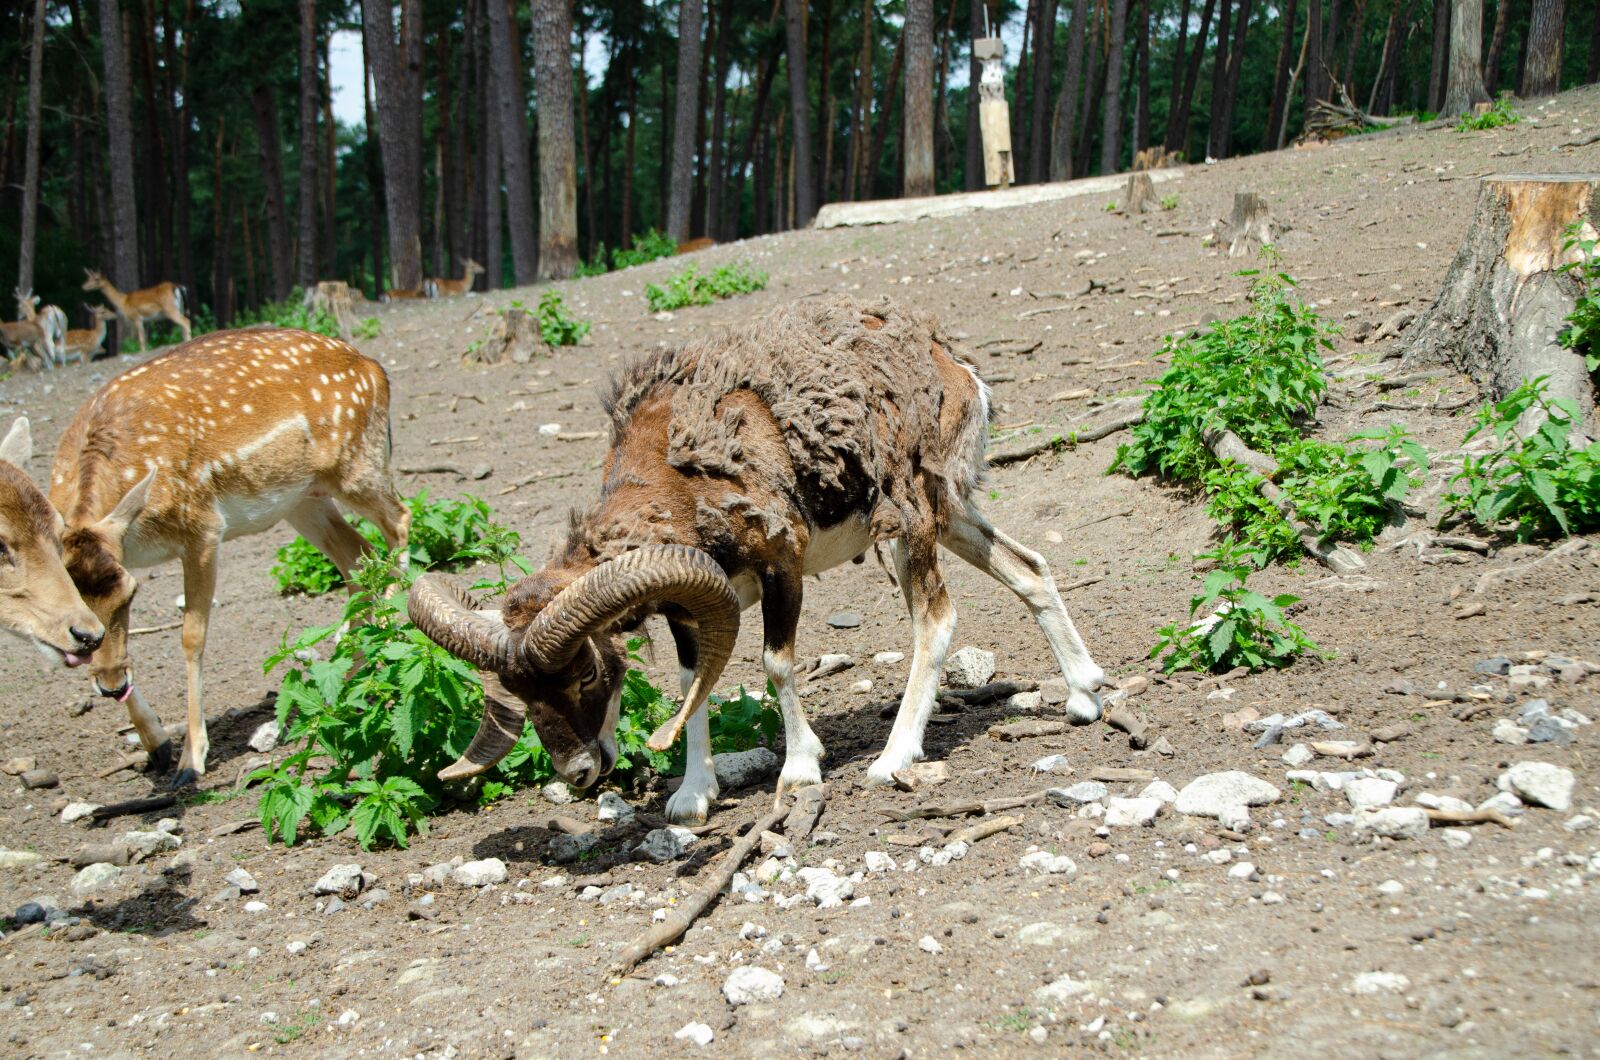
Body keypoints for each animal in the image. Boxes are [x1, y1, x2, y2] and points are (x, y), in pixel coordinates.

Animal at [48, 328, 410, 785]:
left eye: (131, 595)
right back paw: (350, 675)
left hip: (358, 465)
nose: (110, 686)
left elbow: (192, 637)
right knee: (358, 556)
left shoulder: (202, 526)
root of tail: (375, 368)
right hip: (302, 498)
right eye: (69, 613)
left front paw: (190, 760)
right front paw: (156, 745)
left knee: (400, 520)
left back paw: (391, 643)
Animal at [410, 296, 1104, 824]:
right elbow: (694, 683)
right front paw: (692, 796)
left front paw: (800, 772)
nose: (579, 772)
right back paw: (1084, 696)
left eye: (584, 675)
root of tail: (956, 370)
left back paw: (893, 759)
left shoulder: (782, 567)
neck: (681, 471)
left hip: (914, 524)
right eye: (522, 697)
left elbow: (776, 664)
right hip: (954, 516)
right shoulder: (689, 610)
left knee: (935, 619)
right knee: (1030, 570)